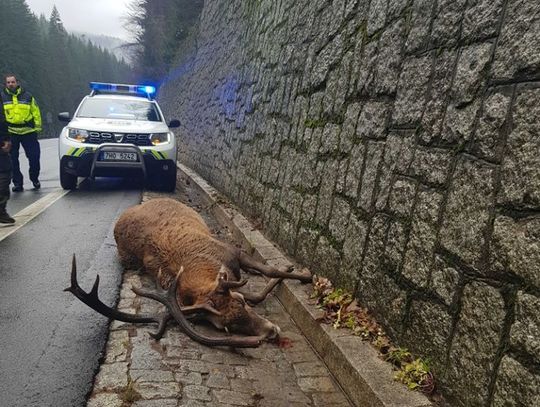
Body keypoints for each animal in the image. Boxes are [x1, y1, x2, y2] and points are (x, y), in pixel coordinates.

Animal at [66, 198, 312, 348]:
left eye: (241, 302)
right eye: (225, 327)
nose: (272, 332)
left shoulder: (232, 251)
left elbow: (269, 269)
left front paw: (304, 273)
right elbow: (259, 292)